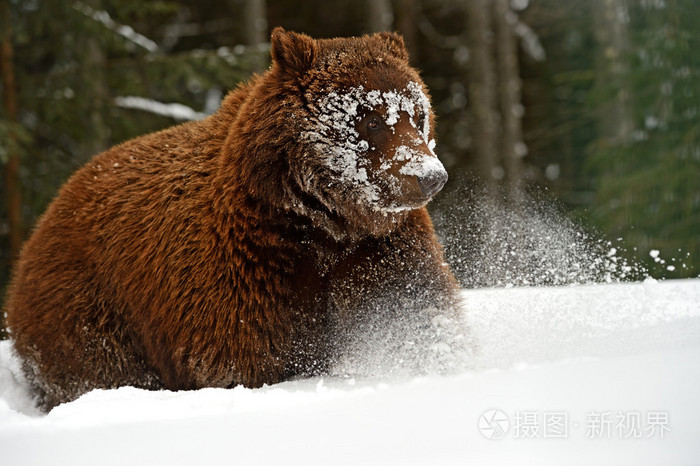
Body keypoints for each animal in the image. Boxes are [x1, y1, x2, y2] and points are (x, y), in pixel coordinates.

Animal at [8, 27, 462, 410]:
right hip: (91, 307)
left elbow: (420, 317)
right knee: (97, 366)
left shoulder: (378, 251)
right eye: (371, 118)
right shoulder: (245, 271)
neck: (322, 223)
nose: (430, 177)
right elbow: (242, 360)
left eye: (417, 114)